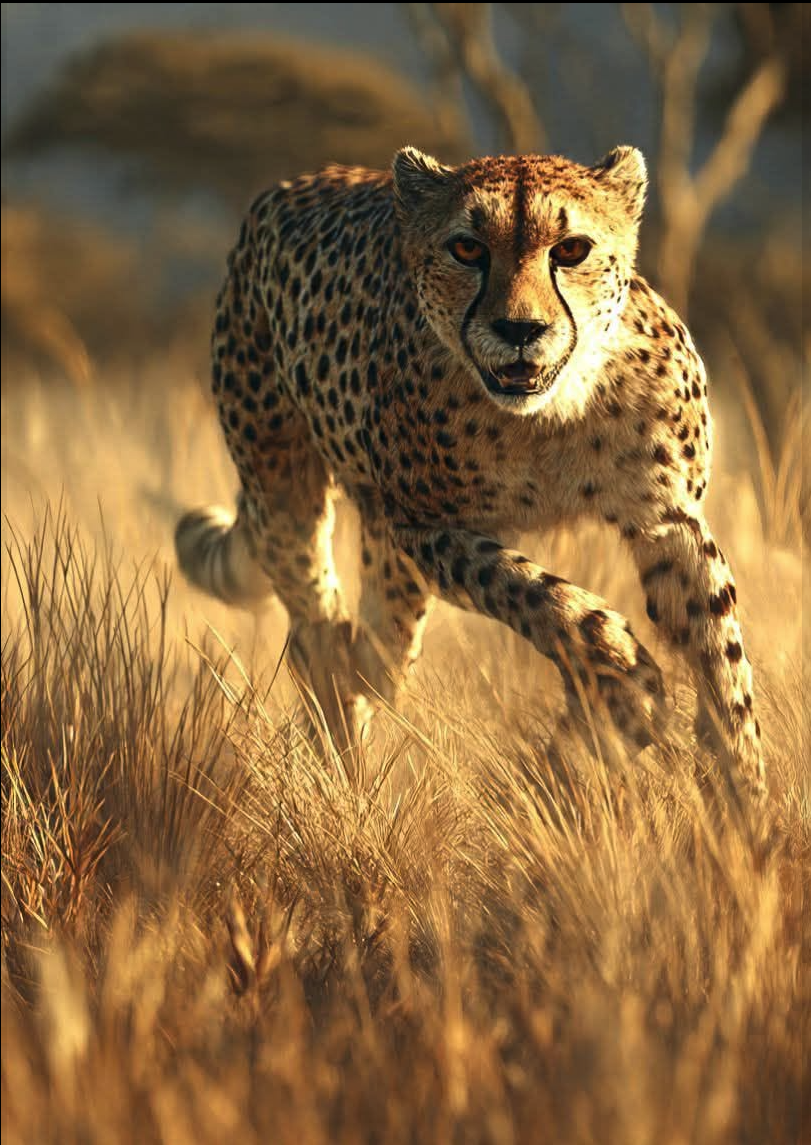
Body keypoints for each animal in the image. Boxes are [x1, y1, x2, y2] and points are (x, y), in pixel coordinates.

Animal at [175, 144, 766, 805]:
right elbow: (541, 596)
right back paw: (344, 773)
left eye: (571, 249)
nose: (520, 329)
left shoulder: (667, 519)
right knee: (319, 637)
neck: (549, 413)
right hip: (285, 488)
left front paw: (743, 802)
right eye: (467, 248)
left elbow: (722, 655)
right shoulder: (424, 524)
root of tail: (295, 183)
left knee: (372, 659)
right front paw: (621, 679)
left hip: (385, 566)